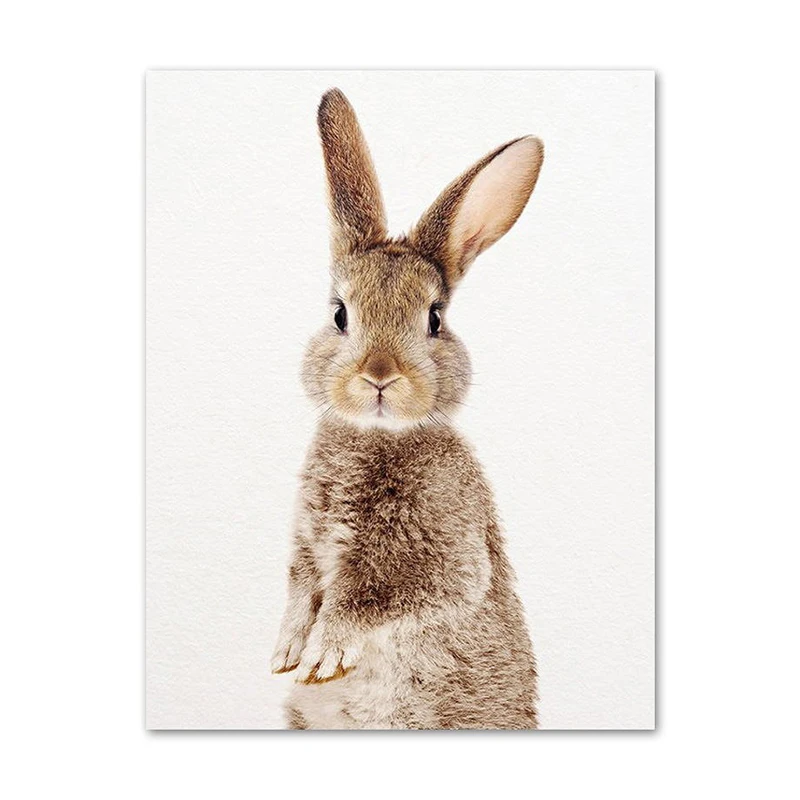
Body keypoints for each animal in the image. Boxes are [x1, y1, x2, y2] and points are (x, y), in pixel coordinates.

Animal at [270, 88, 544, 729]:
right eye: (340, 314)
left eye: (435, 319)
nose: (379, 375)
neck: (373, 436)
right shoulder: (305, 545)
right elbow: (300, 588)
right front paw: (288, 650)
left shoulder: (439, 556)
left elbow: (370, 598)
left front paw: (323, 654)